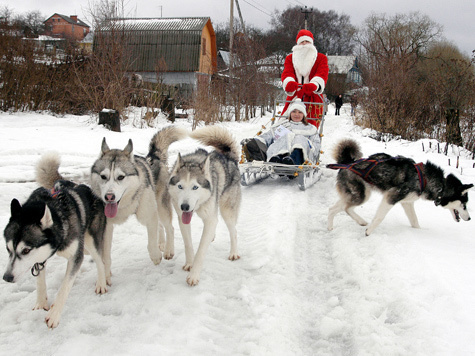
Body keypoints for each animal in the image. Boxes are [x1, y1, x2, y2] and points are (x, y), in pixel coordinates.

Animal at [2, 153, 108, 328]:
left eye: (26, 250)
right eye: (8, 249)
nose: (6, 278)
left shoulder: (75, 256)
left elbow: (65, 287)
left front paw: (54, 315)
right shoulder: (39, 257)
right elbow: (40, 282)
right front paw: (40, 304)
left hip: (92, 238)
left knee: (100, 259)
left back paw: (102, 283)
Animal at [90, 126, 187, 286]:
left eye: (121, 177)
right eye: (103, 176)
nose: (109, 197)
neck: (124, 206)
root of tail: (153, 156)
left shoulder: (149, 215)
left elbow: (151, 242)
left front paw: (155, 256)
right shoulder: (106, 227)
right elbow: (106, 256)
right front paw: (105, 276)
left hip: (160, 207)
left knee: (169, 227)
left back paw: (167, 250)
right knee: (161, 226)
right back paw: (162, 243)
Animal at [169, 126, 242, 286]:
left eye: (195, 187)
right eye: (180, 186)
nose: (184, 207)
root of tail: (229, 157)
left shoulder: (209, 218)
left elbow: (201, 250)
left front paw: (194, 275)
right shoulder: (182, 219)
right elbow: (188, 244)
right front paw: (189, 264)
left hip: (227, 211)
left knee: (233, 231)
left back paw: (234, 253)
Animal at [328, 139, 472, 236]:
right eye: (464, 204)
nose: (470, 219)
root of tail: (347, 162)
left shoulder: (407, 203)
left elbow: (415, 221)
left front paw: (419, 232)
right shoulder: (391, 197)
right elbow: (379, 217)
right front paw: (369, 231)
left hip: (354, 194)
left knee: (333, 208)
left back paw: (335, 227)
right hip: (361, 195)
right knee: (346, 208)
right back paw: (358, 222)